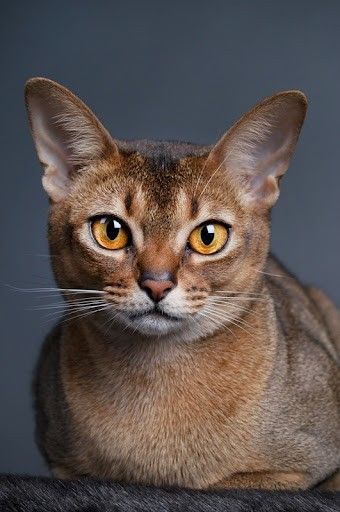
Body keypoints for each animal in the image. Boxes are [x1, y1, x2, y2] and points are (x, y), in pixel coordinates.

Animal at [25, 78, 338, 490]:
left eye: (208, 236)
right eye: (110, 230)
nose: (157, 285)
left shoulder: (313, 466)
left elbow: (225, 482)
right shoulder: (63, 466)